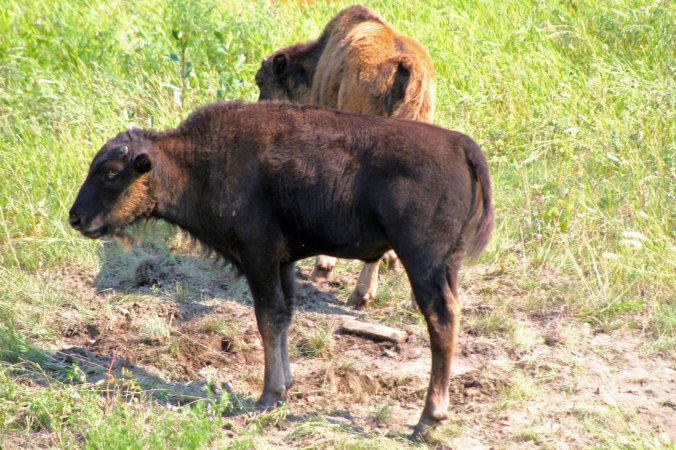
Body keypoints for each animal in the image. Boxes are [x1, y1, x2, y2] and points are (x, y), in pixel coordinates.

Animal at [69, 101, 494, 439]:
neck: (194, 161)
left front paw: (267, 396)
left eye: (111, 173)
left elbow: (268, 318)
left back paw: (427, 420)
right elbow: (284, 317)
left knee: (440, 321)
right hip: (444, 265)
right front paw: (285, 386)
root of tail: (461, 146)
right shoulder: (284, 262)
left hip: (423, 262)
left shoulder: (259, 257)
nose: (76, 217)